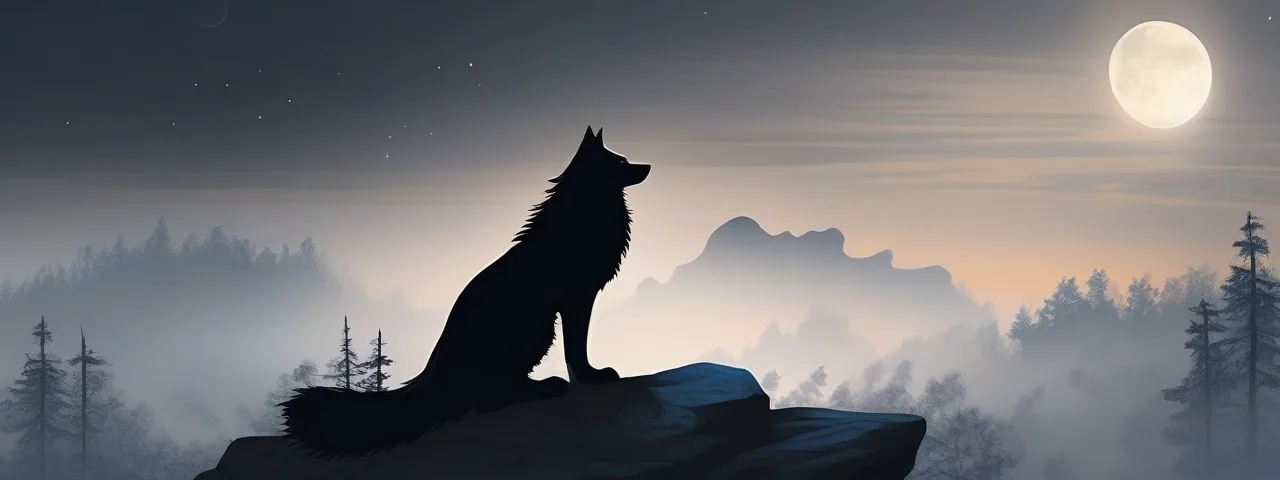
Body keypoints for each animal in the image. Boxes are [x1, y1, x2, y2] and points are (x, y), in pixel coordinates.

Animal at [279, 126, 650, 458]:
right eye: (621, 162)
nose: (647, 166)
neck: (583, 214)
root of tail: (438, 368)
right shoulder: (576, 298)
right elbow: (577, 349)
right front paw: (590, 377)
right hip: (536, 329)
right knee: (489, 398)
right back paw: (546, 386)